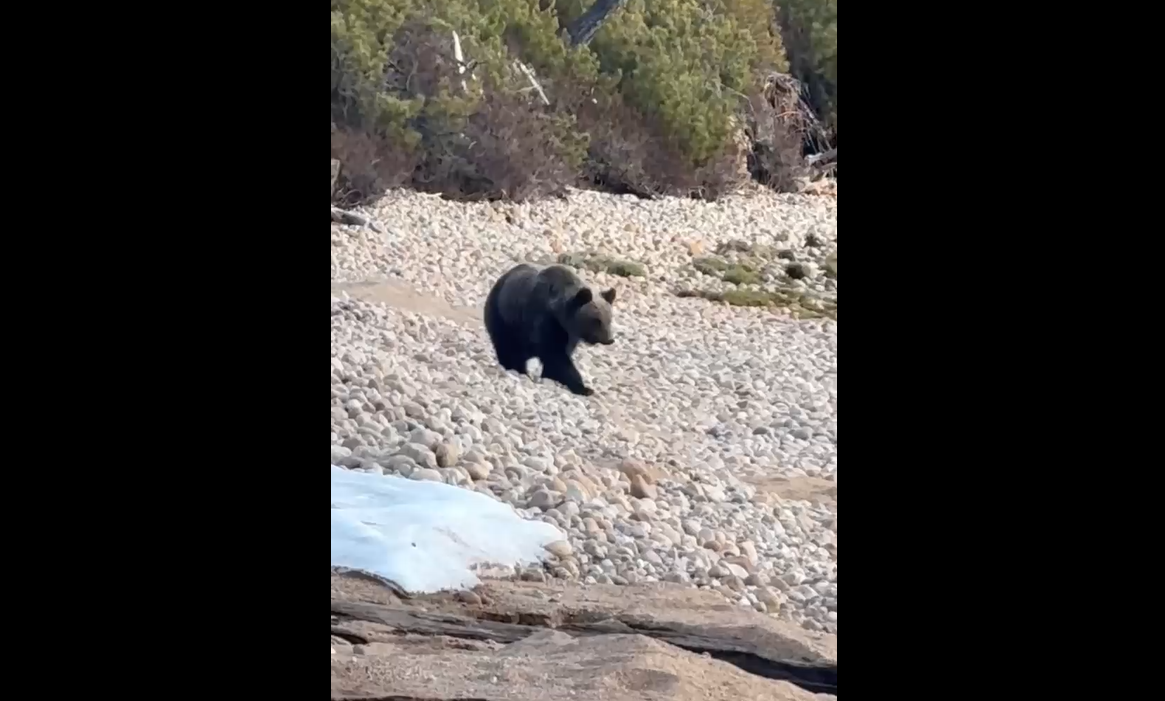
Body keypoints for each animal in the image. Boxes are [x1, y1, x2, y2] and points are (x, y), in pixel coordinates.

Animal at [482, 263, 619, 395]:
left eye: (609, 318)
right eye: (596, 320)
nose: (609, 339)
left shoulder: (568, 334)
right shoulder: (544, 322)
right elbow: (556, 356)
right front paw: (584, 388)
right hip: (504, 319)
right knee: (508, 347)